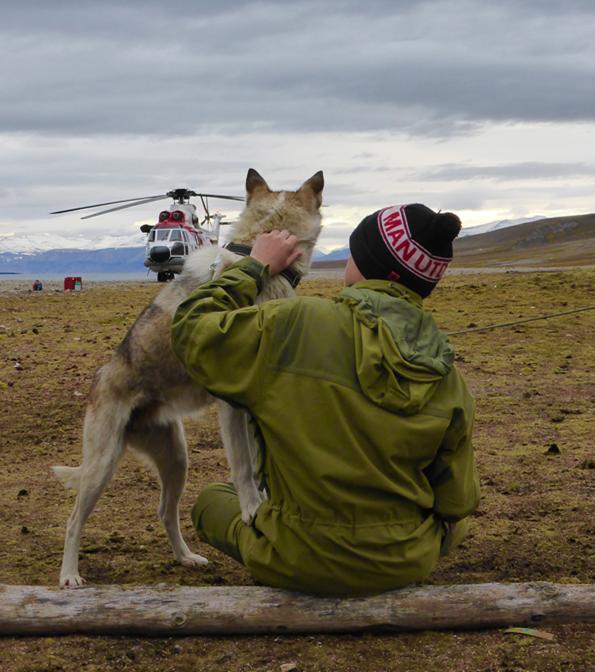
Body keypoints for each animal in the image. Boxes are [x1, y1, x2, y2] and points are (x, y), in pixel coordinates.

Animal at [54, 169, 326, 588]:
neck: (258, 259)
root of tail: (100, 379)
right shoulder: (232, 407)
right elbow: (243, 467)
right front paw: (251, 510)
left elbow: (258, 462)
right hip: (102, 466)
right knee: (72, 521)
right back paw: (70, 575)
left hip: (176, 460)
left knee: (165, 512)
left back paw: (186, 558)